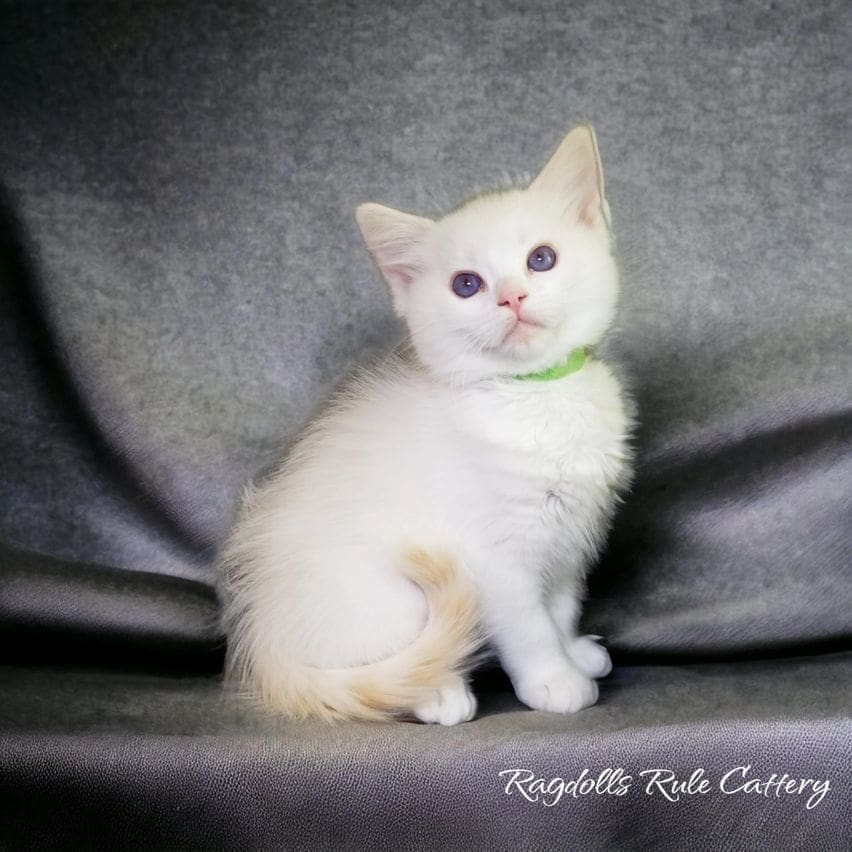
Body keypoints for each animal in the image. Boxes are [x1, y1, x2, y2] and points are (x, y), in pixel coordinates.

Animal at [220, 128, 632, 724]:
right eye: (466, 285)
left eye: (542, 259)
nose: (512, 296)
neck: (532, 394)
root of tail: (264, 642)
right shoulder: (492, 558)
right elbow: (529, 626)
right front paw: (553, 680)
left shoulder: (568, 534)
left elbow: (560, 604)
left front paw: (573, 652)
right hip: (393, 592)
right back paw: (438, 692)